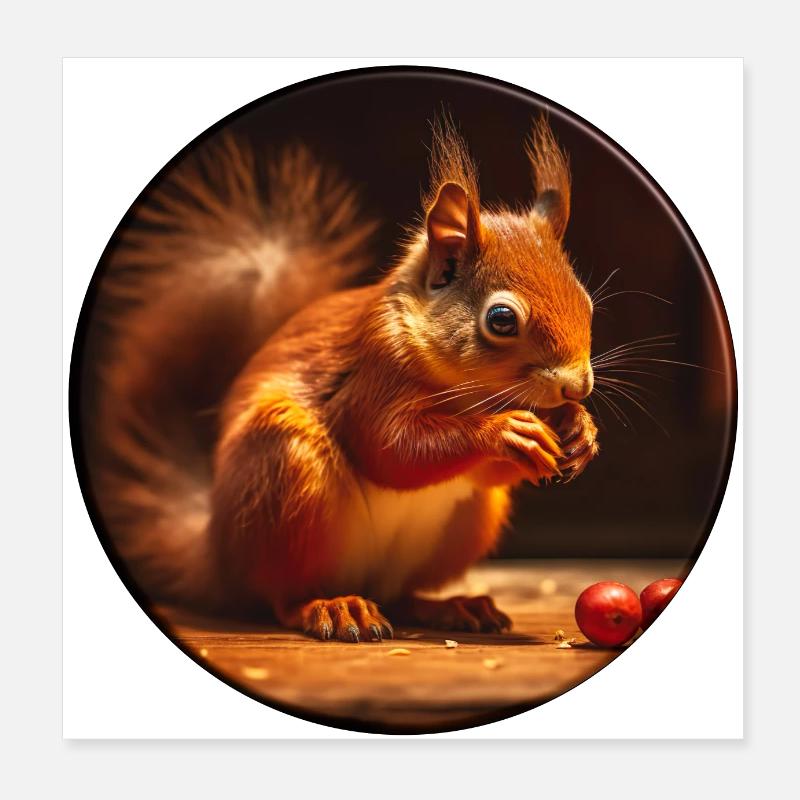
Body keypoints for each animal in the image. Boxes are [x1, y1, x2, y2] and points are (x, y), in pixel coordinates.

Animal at [87, 116, 599, 642]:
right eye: (501, 320)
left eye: (586, 302)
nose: (578, 386)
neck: (470, 393)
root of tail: (217, 554)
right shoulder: (370, 374)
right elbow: (390, 448)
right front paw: (505, 432)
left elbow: (480, 471)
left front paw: (578, 428)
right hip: (284, 472)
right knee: (279, 594)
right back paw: (332, 607)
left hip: (465, 524)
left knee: (401, 593)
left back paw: (452, 606)